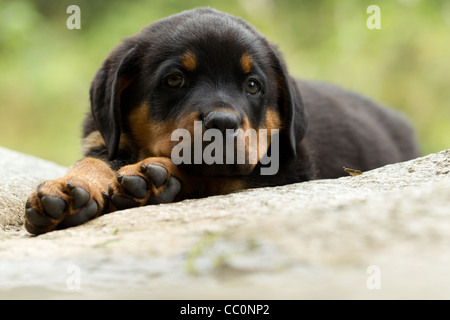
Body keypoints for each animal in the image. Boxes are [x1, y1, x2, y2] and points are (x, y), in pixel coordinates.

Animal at [23, 6, 418, 234]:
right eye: (175, 80)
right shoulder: (103, 138)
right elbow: (92, 160)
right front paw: (70, 188)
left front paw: (155, 178)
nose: (224, 122)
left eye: (253, 85)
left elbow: (210, 174)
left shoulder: (285, 168)